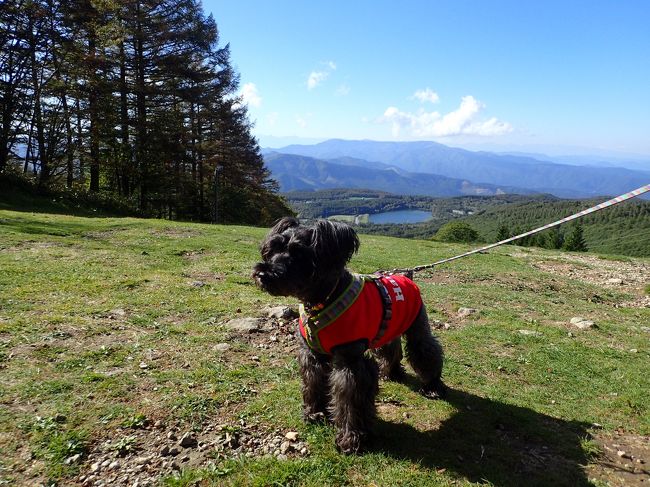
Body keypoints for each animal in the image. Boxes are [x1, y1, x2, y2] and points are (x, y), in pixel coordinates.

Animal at [251, 219, 442, 456]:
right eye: (273, 249)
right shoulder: (312, 356)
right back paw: (392, 373)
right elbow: (313, 383)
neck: (323, 300)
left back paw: (432, 386)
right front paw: (314, 413)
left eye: (299, 253)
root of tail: (406, 275)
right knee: (392, 348)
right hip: (390, 328)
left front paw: (351, 438)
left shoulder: (350, 364)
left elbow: (351, 400)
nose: (263, 274)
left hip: (417, 326)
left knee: (426, 350)